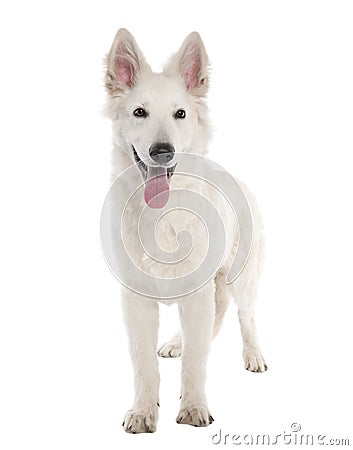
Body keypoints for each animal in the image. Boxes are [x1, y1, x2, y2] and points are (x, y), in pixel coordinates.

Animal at [103, 27, 266, 432]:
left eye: (180, 113)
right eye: (139, 112)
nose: (162, 151)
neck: (161, 215)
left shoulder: (196, 295)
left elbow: (196, 360)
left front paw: (193, 408)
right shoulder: (137, 300)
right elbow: (144, 363)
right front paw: (143, 412)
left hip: (242, 280)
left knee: (246, 316)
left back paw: (254, 355)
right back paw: (176, 342)